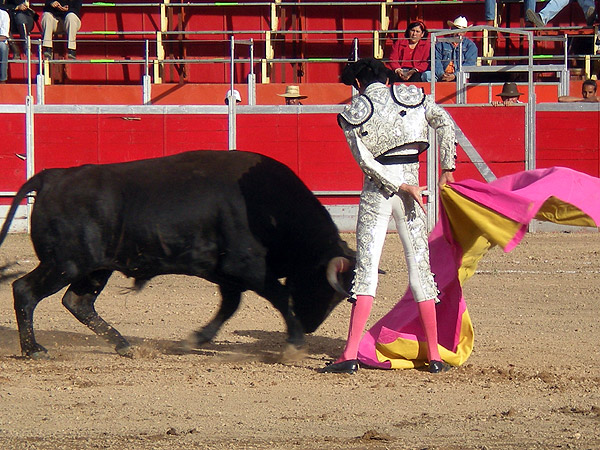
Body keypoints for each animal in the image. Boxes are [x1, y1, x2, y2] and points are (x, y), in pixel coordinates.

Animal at [0, 151, 356, 358]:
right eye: (325, 287)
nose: (311, 326)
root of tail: (52, 175)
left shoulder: (228, 275)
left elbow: (229, 307)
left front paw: (194, 340)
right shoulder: (248, 267)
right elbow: (279, 297)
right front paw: (294, 344)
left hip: (95, 268)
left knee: (78, 302)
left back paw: (124, 345)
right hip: (65, 263)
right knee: (25, 290)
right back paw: (34, 350)